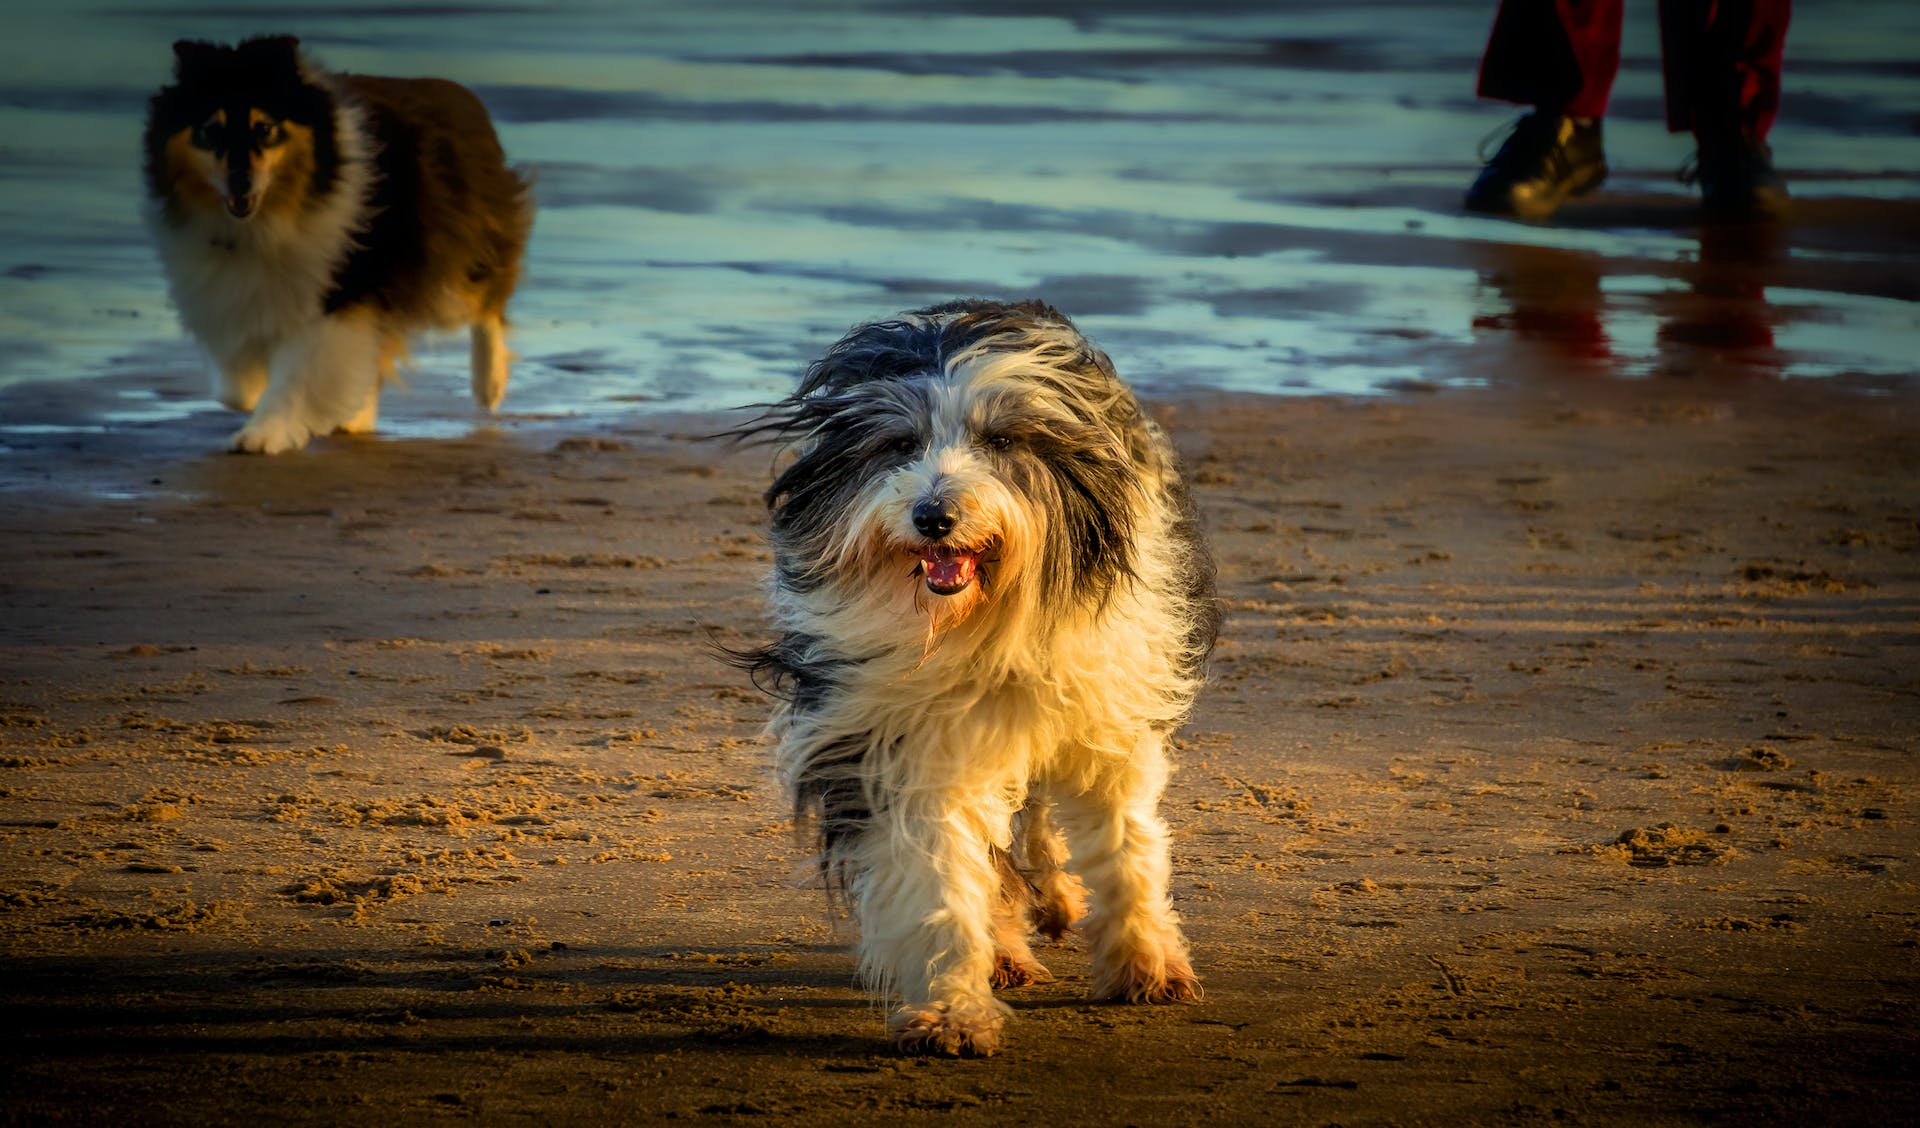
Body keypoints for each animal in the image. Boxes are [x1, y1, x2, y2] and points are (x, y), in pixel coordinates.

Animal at [141, 37, 533, 456]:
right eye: (210, 131)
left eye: (265, 128)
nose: (240, 184)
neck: (268, 219)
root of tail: (466, 96)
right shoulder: (229, 288)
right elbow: (237, 386)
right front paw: (255, 395)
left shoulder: (338, 287)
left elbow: (300, 372)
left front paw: (263, 433)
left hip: (448, 264)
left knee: (487, 305)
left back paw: (489, 386)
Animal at [729, 299, 1213, 1058]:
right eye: (900, 443)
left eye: (1001, 439)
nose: (934, 516)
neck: (982, 626)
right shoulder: (901, 738)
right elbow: (940, 871)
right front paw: (952, 1009)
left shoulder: (1109, 711)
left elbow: (1125, 842)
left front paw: (1146, 962)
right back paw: (1008, 945)